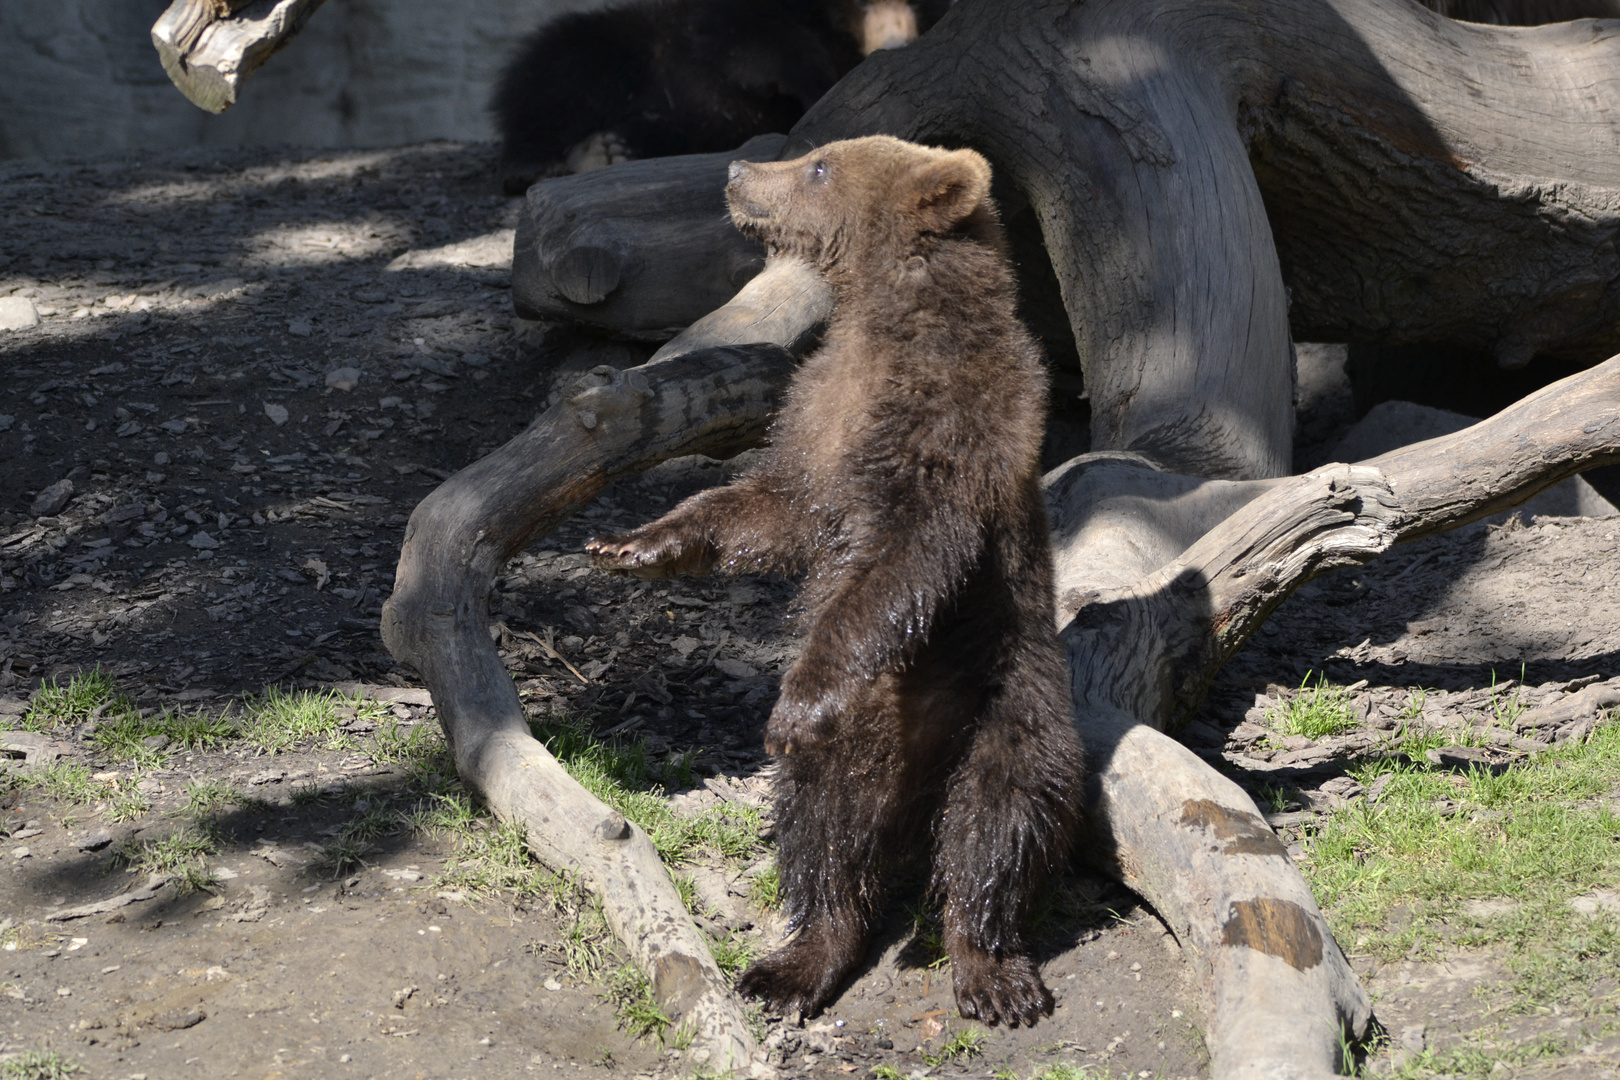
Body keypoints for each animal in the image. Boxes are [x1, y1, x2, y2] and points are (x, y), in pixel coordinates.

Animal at [492, 0, 946, 191]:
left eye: (916, 6)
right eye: (863, 6)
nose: (896, 41)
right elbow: (748, 36)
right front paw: (814, 80)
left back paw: (611, 148)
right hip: (636, 45)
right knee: (558, 67)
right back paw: (534, 162)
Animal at [589, 135, 1082, 1029]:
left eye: (818, 166)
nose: (737, 173)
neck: (885, 318)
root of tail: (916, 790)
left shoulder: (951, 423)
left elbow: (906, 556)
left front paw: (798, 701)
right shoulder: (818, 410)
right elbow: (771, 507)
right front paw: (633, 543)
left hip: (1011, 702)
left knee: (1000, 820)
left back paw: (994, 972)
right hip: (860, 748)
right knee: (823, 829)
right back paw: (795, 961)